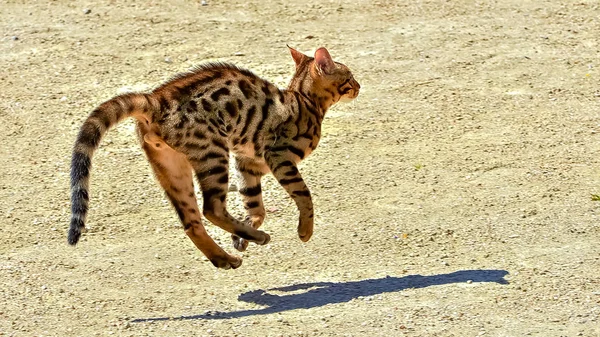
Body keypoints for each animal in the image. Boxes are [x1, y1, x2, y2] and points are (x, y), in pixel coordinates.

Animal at [70, 46, 360, 268]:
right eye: (350, 76)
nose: (359, 85)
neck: (305, 100)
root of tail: (155, 98)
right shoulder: (278, 157)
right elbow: (303, 196)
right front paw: (304, 231)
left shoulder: (248, 163)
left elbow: (255, 205)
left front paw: (242, 236)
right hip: (213, 154)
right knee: (211, 208)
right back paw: (256, 239)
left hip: (173, 168)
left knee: (192, 222)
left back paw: (227, 257)